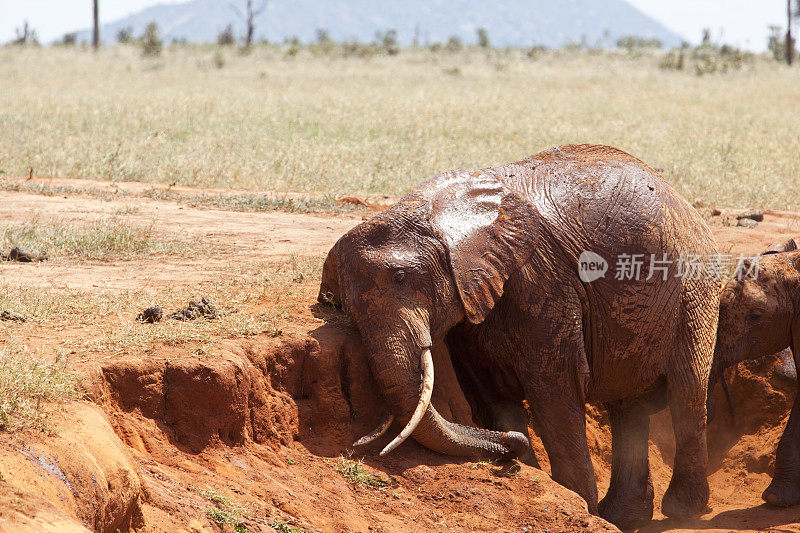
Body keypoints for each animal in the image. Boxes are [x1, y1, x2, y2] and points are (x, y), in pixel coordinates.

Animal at [320, 143, 724, 524]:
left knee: (687, 391)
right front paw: (528, 462)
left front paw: (580, 504)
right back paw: (625, 517)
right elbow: (491, 395)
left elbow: (555, 391)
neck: (434, 209)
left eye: (402, 278)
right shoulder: (475, 307)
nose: (511, 449)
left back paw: (681, 511)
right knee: (628, 406)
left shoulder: (541, 281)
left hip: (695, 288)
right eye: (342, 307)